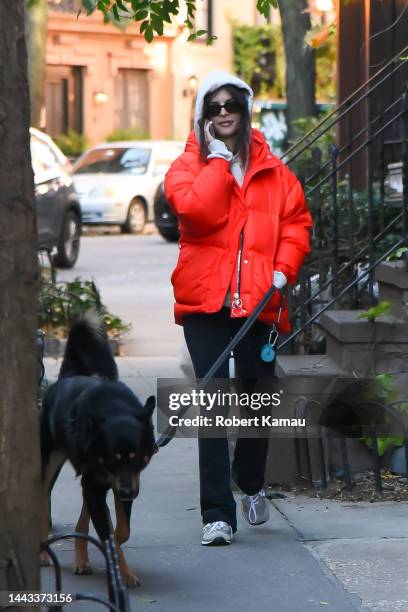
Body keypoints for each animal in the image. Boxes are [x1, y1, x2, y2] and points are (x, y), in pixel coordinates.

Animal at [39, 314, 157, 584]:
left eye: (137, 459)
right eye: (113, 459)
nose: (128, 493)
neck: (115, 408)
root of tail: (67, 376)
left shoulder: (119, 482)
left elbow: (120, 531)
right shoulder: (103, 482)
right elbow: (109, 531)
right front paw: (121, 571)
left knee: (85, 517)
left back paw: (82, 560)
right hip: (49, 464)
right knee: (42, 499)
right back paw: (42, 554)